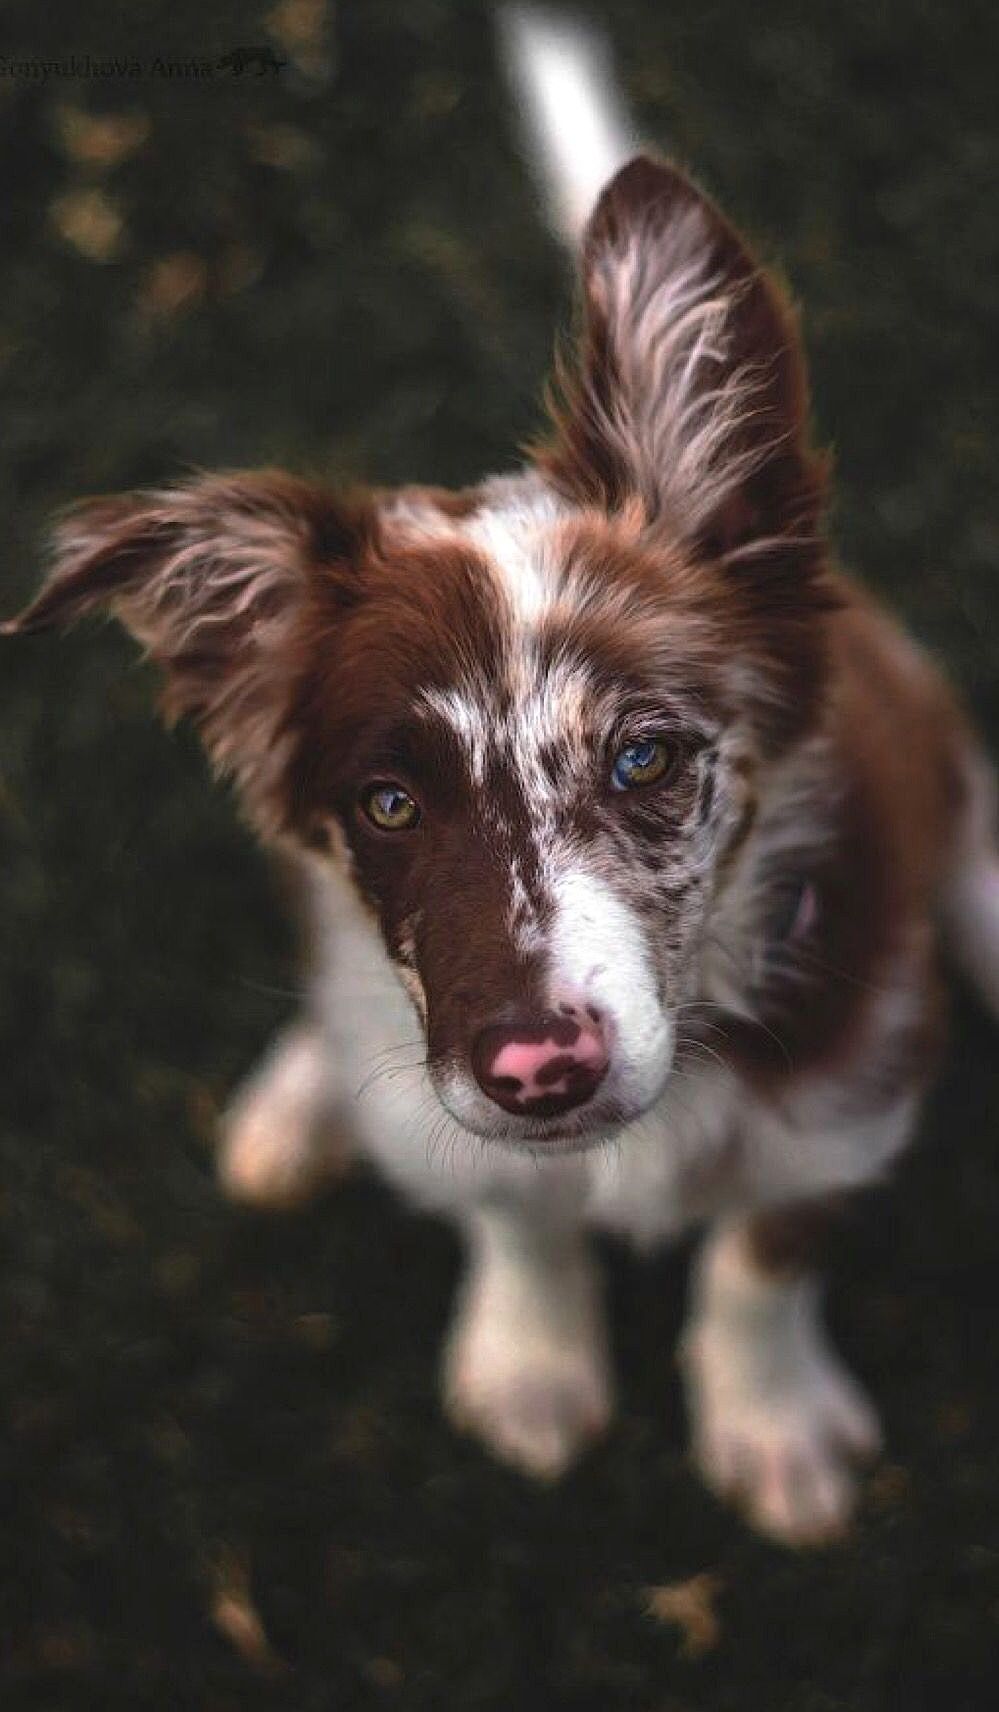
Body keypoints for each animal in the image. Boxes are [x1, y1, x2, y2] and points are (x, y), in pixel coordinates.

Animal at [3, 10, 992, 1540]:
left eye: (645, 758)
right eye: (387, 805)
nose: (536, 1072)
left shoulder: (851, 1092)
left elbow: (761, 1251)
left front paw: (772, 1425)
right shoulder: (454, 1101)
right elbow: (513, 1218)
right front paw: (532, 1366)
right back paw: (300, 1104)